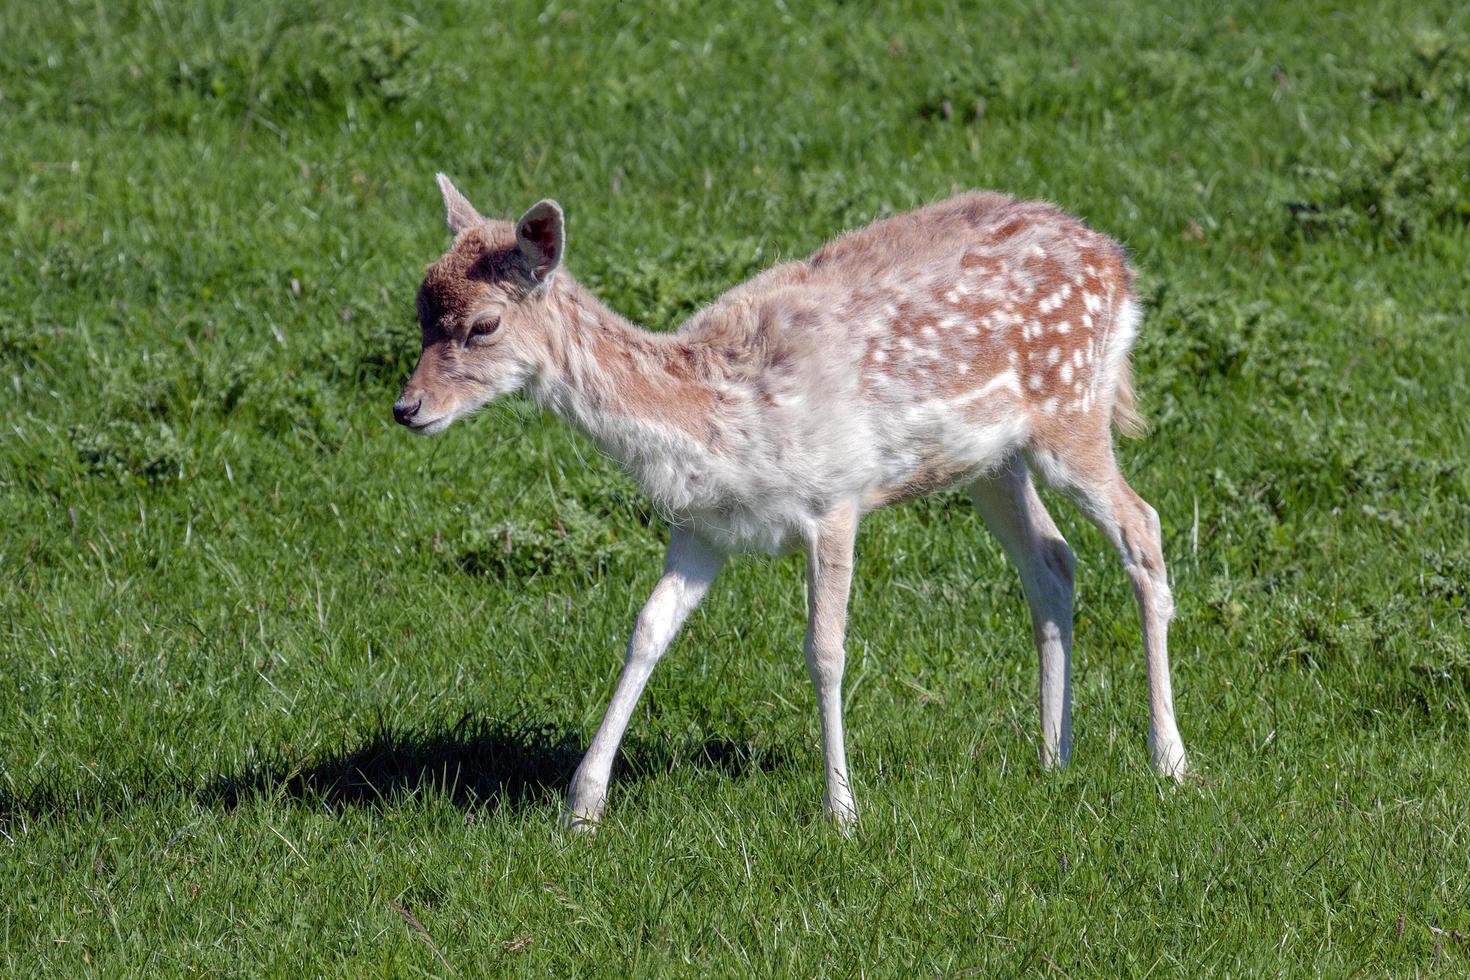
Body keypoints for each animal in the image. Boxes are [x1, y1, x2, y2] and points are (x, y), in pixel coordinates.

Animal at [396, 176, 1187, 828]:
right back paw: (1053, 756)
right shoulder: (703, 527)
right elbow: (647, 630)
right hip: (991, 460)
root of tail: (1119, 264)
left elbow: (824, 648)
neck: (720, 415)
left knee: (1142, 526)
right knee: (1052, 559)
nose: (407, 408)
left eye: (485, 325)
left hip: (1072, 409)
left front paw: (842, 811)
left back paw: (1170, 762)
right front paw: (581, 807)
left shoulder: (835, 495)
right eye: (421, 311)